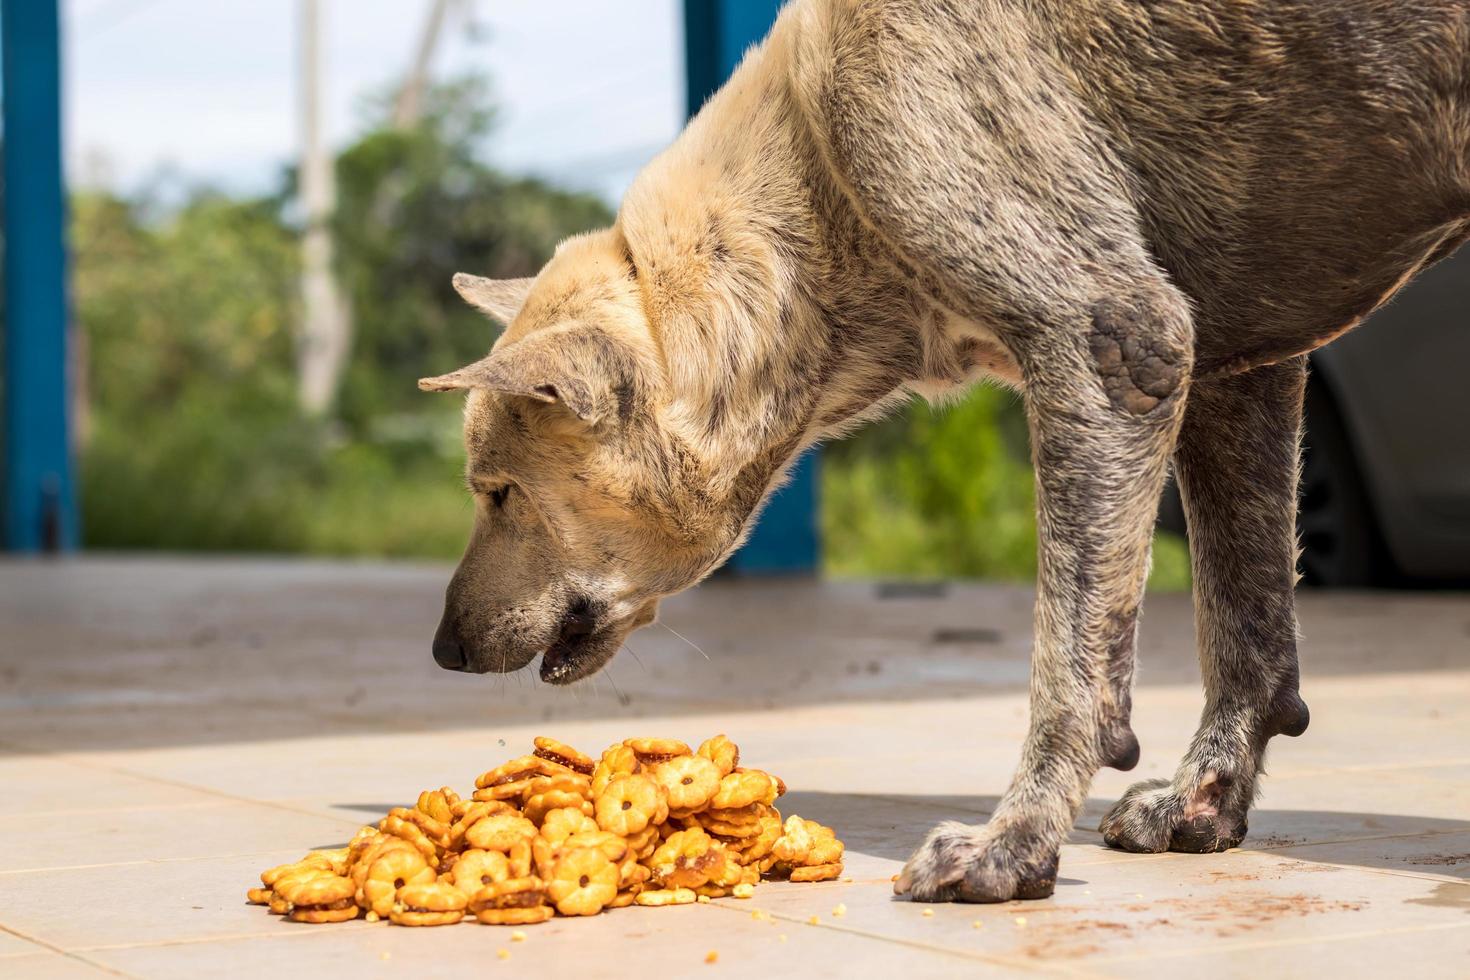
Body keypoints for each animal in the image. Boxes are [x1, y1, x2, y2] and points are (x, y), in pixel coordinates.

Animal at [417, 0, 1470, 905]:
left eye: (499, 493)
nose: (442, 653)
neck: (818, 172)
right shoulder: (1233, 373)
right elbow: (1244, 629)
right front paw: (1201, 803)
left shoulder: (1108, 343)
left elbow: (1071, 673)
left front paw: (1014, 847)